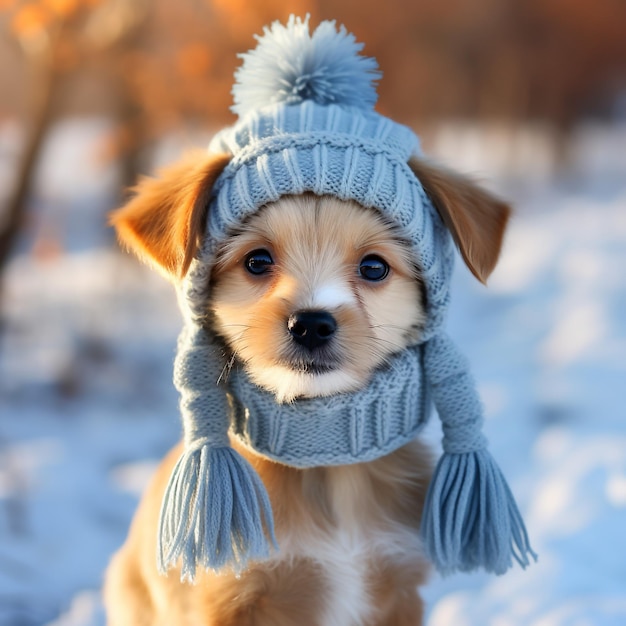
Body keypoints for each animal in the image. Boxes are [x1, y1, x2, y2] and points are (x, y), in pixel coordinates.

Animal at [105, 149, 510, 620]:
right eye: (257, 261)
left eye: (374, 267)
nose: (311, 324)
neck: (326, 463)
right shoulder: (229, 593)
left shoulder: (399, 584)